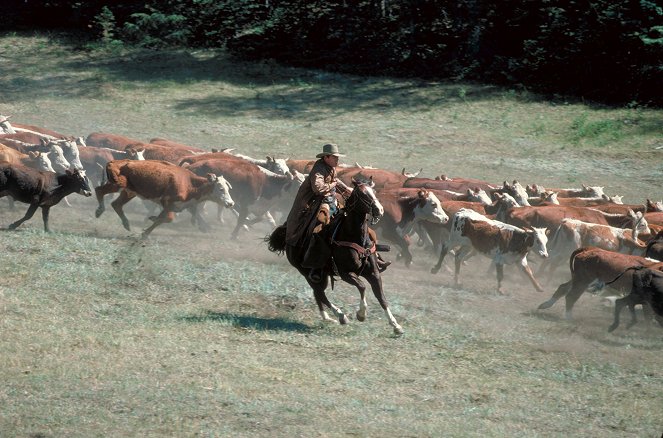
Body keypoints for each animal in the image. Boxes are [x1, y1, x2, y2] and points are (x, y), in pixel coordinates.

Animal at [94, 159, 235, 238]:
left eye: (228, 189)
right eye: (221, 189)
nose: (230, 203)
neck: (190, 183)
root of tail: (115, 162)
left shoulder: (173, 206)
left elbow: (161, 220)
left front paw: (146, 232)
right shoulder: (167, 202)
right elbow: (167, 218)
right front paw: (150, 222)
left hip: (129, 192)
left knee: (116, 204)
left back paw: (126, 224)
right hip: (117, 185)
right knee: (99, 190)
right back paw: (99, 211)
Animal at [266, 178, 402, 336]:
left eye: (373, 191)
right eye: (362, 194)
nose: (379, 210)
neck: (353, 236)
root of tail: (287, 235)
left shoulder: (373, 273)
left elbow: (381, 297)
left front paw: (396, 325)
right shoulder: (345, 273)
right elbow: (362, 287)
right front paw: (361, 314)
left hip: (322, 275)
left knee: (318, 294)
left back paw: (327, 317)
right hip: (306, 273)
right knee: (320, 293)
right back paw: (340, 316)